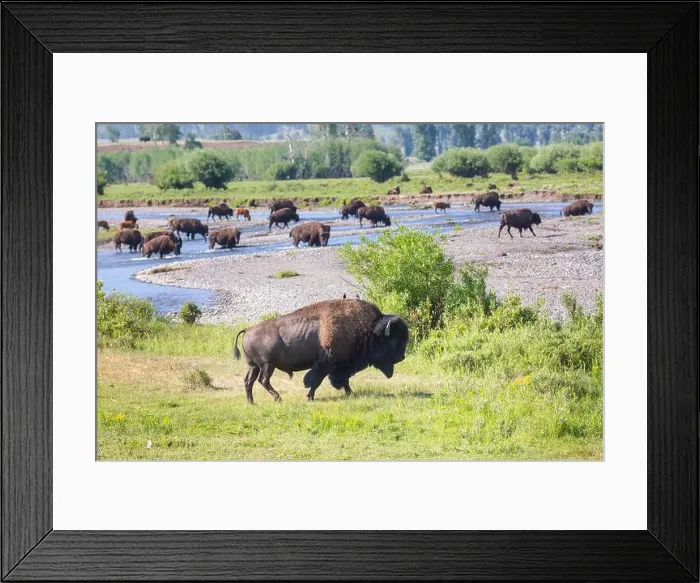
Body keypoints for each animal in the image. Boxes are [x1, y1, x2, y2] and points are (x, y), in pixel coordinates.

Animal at [233, 299, 409, 403]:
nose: (402, 357)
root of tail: (248, 330)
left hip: (254, 366)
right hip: (267, 365)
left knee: (249, 381)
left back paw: (251, 402)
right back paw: (278, 398)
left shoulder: (342, 366)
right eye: (393, 341)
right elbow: (316, 380)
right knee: (263, 380)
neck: (367, 329)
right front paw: (309, 397)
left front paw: (350, 393)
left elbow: (343, 380)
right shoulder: (327, 363)